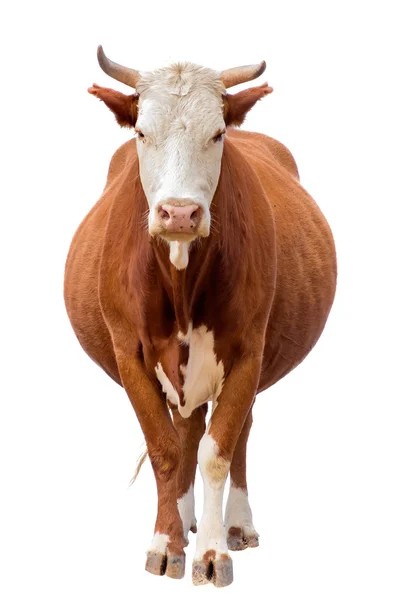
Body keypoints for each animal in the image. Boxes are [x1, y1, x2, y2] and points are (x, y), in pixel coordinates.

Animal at [64, 45, 336, 584]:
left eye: (217, 134)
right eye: (141, 132)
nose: (179, 213)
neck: (182, 281)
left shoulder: (248, 351)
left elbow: (218, 450)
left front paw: (213, 553)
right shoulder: (130, 353)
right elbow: (166, 449)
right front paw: (165, 543)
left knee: (236, 432)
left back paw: (236, 526)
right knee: (186, 427)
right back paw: (184, 515)